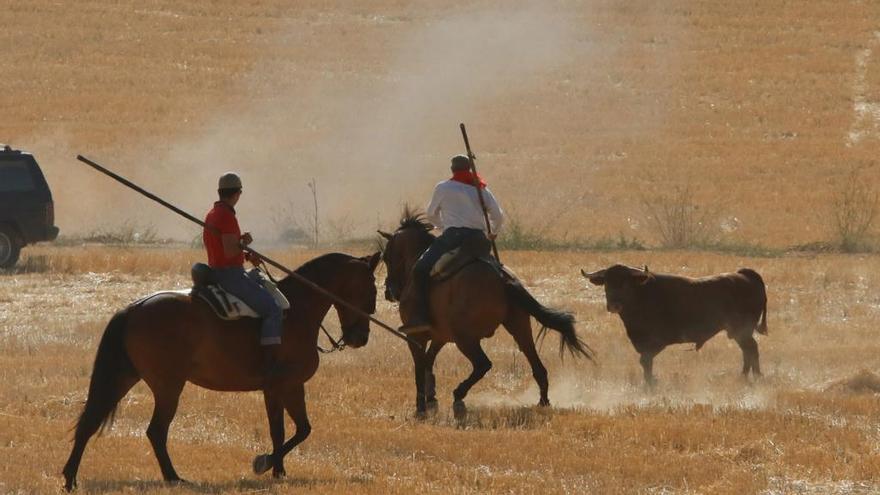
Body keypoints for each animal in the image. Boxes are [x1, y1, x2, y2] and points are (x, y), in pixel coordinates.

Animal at [62, 252, 378, 492]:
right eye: (373, 290)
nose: (360, 338)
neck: (297, 311)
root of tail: (134, 307)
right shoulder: (278, 386)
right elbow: (282, 430)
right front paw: (265, 463)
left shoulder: (292, 386)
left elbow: (300, 429)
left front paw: (279, 470)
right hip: (168, 387)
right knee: (156, 431)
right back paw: (174, 477)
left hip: (124, 377)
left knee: (91, 421)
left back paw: (70, 477)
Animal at [376, 211, 592, 416]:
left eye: (386, 257)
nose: (389, 291)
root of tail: (501, 277)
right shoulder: (440, 337)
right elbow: (429, 362)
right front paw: (431, 400)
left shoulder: (415, 337)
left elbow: (420, 368)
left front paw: (421, 407)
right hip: (519, 327)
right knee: (536, 365)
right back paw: (543, 402)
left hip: (466, 339)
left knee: (483, 364)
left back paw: (459, 395)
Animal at [580, 266, 768, 386]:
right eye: (606, 282)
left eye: (625, 282)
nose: (614, 305)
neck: (642, 294)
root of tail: (745, 275)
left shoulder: (655, 343)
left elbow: (645, 361)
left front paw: (650, 382)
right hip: (740, 333)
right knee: (748, 350)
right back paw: (747, 376)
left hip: (741, 331)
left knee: (751, 349)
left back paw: (753, 376)